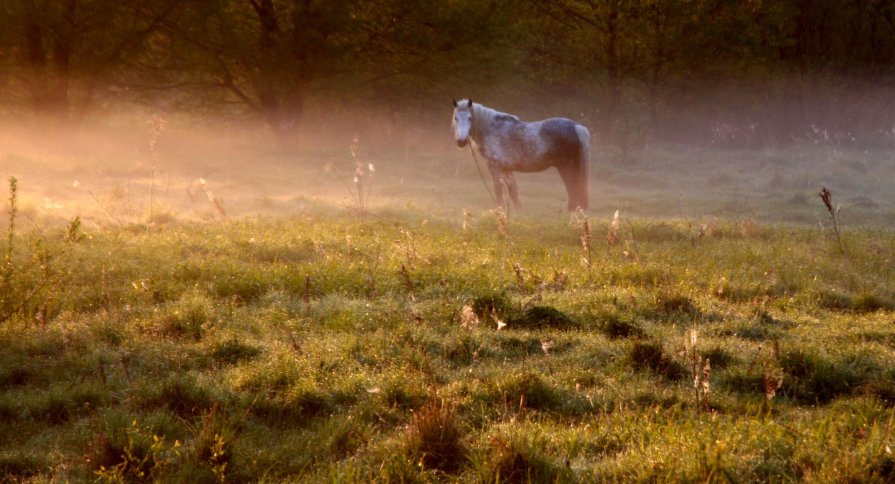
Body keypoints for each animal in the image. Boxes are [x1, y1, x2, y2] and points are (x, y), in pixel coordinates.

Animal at [452, 98, 592, 210]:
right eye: (456, 118)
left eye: (470, 118)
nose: (461, 141)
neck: (490, 128)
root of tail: (576, 126)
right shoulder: (506, 169)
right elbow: (514, 192)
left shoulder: (494, 167)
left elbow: (498, 192)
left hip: (567, 168)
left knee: (575, 192)